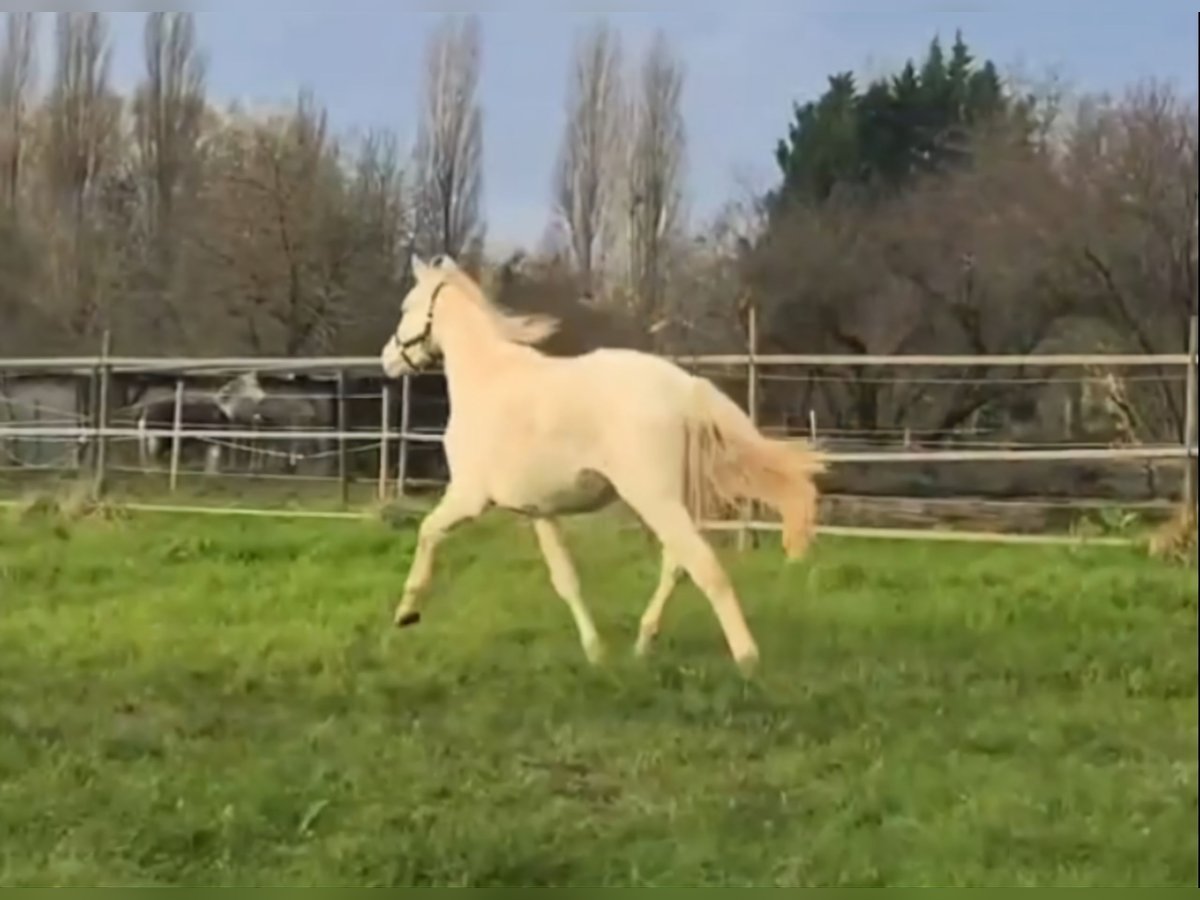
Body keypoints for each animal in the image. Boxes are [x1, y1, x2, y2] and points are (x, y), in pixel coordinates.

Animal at [379, 254, 830, 676]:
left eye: (405, 306)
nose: (387, 361)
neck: (488, 378)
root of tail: (685, 388)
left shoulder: (470, 496)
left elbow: (428, 531)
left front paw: (406, 613)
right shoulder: (538, 511)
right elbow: (566, 581)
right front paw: (596, 652)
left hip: (655, 499)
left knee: (705, 567)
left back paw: (747, 660)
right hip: (671, 502)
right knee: (676, 565)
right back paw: (643, 644)